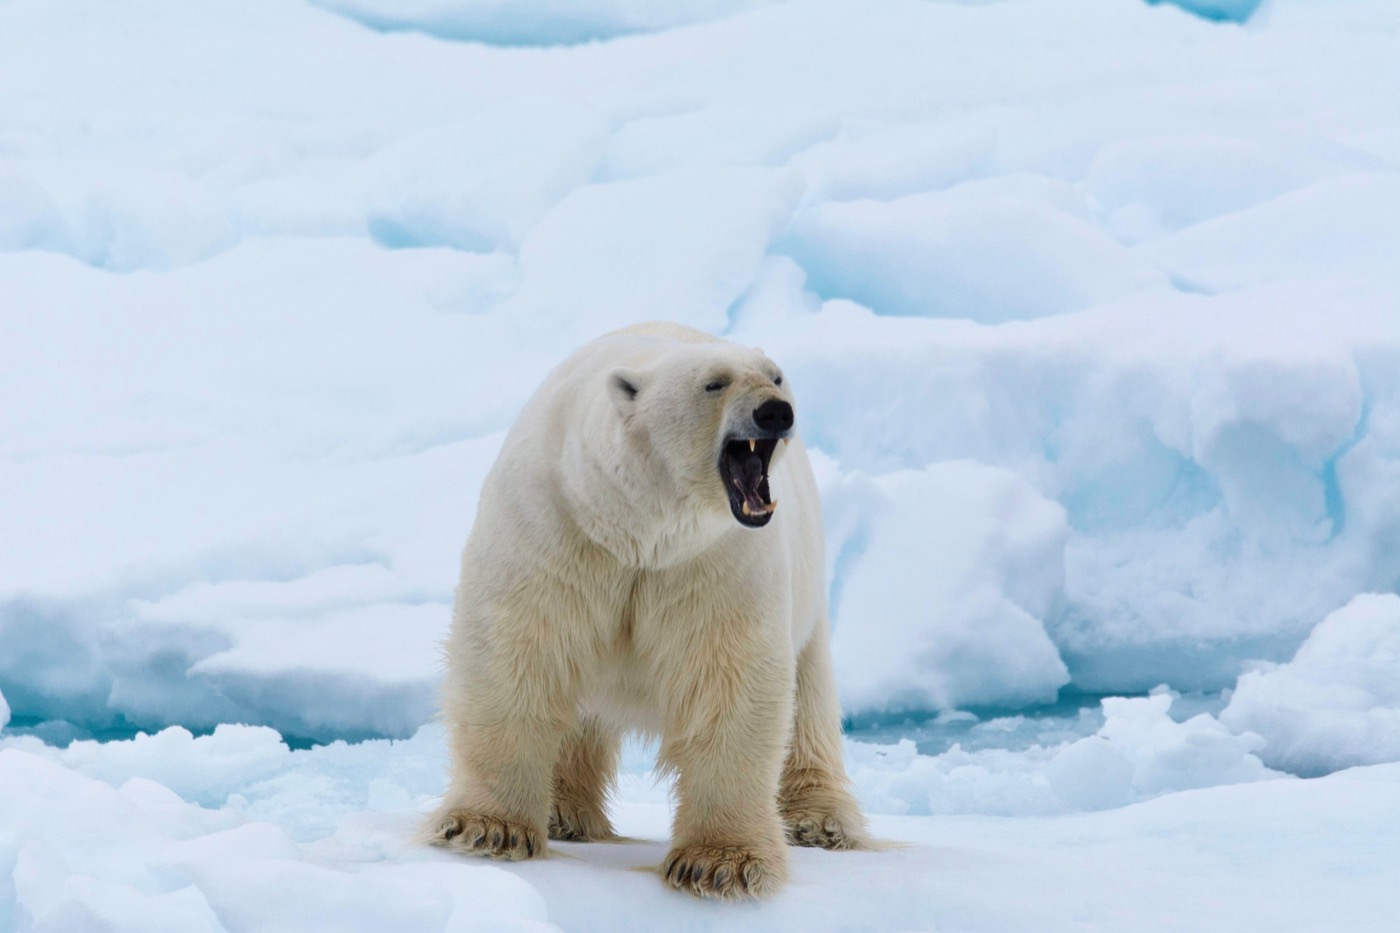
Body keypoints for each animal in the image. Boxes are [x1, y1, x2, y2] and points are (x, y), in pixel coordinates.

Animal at [424, 322, 869, 899]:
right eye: (714, 383)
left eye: (775, 376)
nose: (776, 411)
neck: (636, 527)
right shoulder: (556, 530)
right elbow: (517, 652)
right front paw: (487, 828)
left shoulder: (716, 561)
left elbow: (728, 680)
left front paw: (719, 864)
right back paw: (564, 813)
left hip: (809, 595)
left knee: (809, 705)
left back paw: (821, 822)